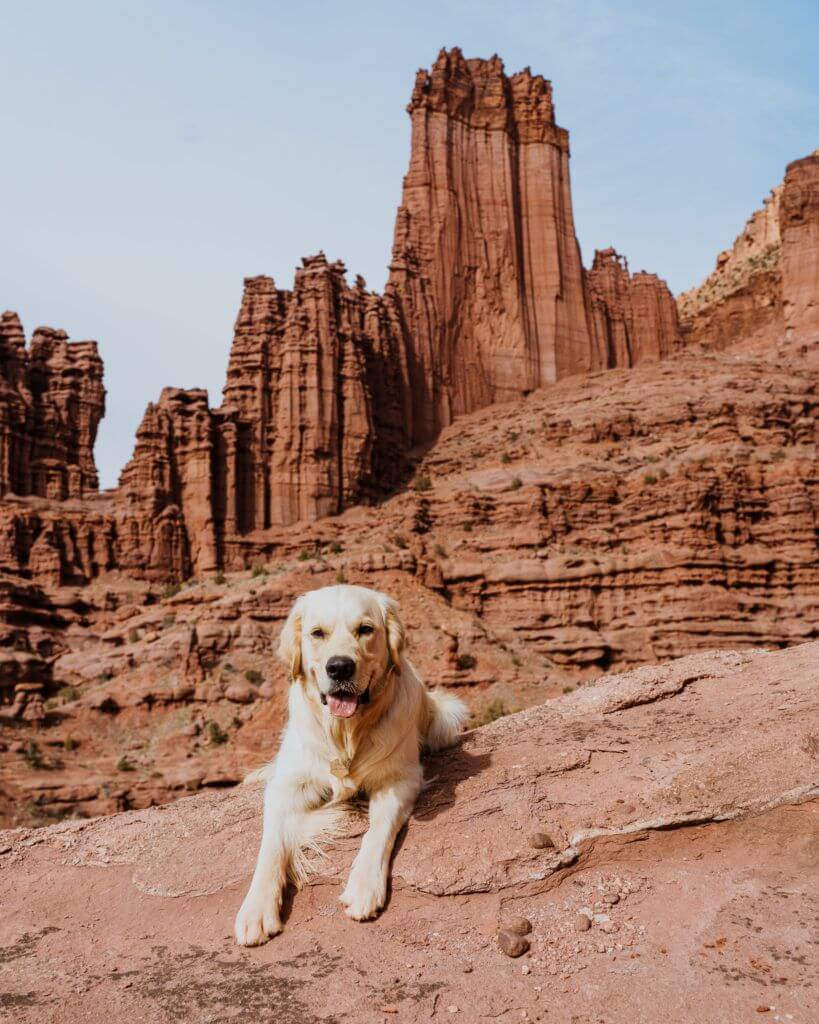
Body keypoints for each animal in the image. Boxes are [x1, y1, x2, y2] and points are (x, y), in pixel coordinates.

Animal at [233, 585, 470, 942]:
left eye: (365, 629)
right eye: (317, 633)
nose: (340, 667)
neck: (345, 732)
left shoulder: (399, 779)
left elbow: (378, 830)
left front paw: (364, 886)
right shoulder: (288, 786)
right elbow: (271, 845)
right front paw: (257, 908)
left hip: (445, 715)